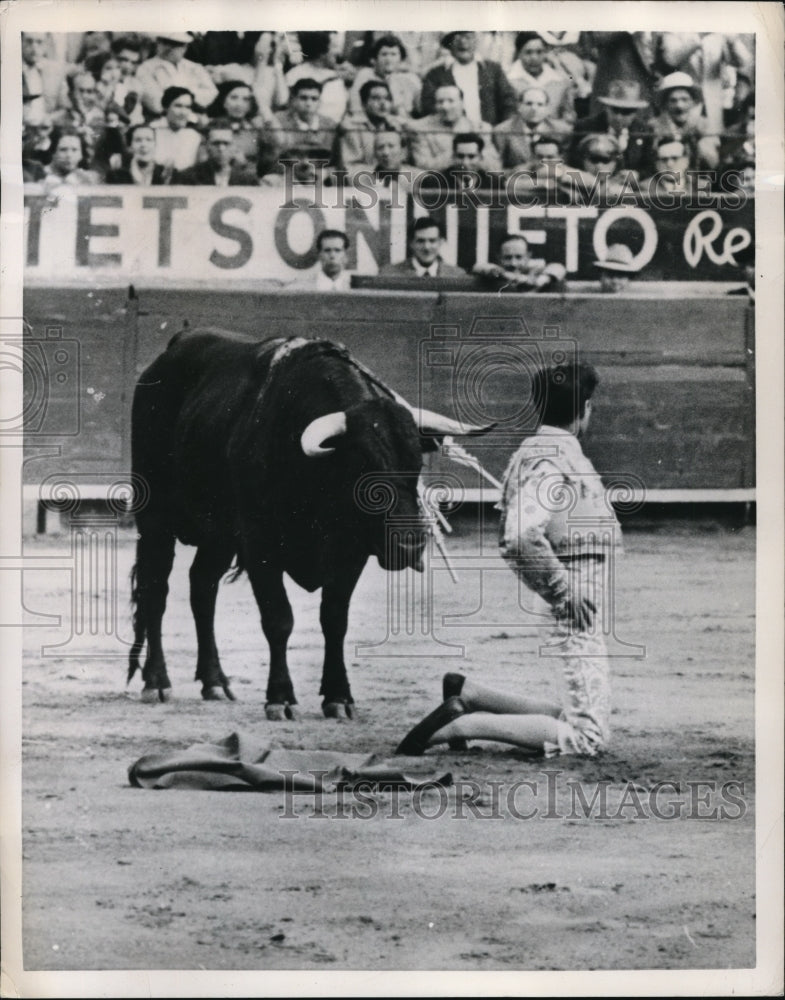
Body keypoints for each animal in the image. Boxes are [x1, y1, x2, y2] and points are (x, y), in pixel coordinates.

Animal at [130, 332, 490, 716]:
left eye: (416, 462)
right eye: (364, 466)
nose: (409, 544)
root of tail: (174, 347)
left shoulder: (351, 552)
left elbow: (334, 620)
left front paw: (338, 696)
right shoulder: (260, 546)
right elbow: (279, 619)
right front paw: (280, 697)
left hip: (219, 536)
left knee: (202, 588)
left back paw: (214, 681)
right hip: (155, 518)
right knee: (156, 591)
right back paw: (157, 681)